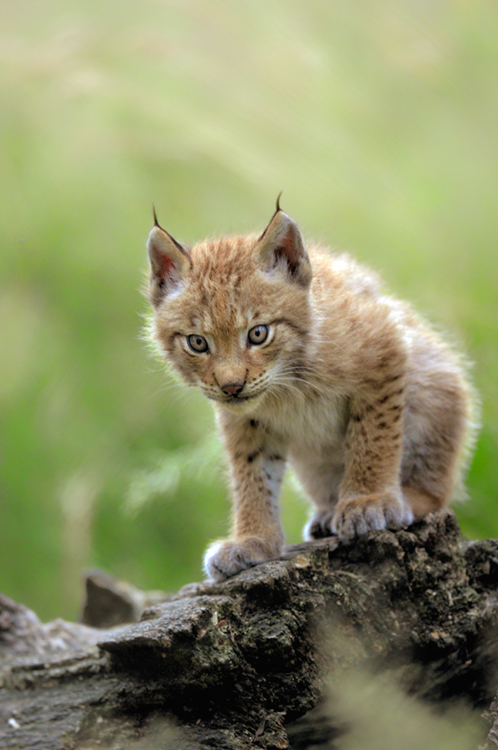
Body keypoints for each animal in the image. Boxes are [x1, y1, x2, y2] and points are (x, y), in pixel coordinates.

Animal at [145, 200, 474, 580]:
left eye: (258, 334)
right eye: (197, 343)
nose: (231, 387)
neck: (286, 383)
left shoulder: (385, 345)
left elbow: (373, 437)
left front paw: (368, 500)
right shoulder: (242, 418)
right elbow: (250, 475)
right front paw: (252, 540)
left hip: (432, 376)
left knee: (440, 493)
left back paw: (405, 499)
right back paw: (327, 514)